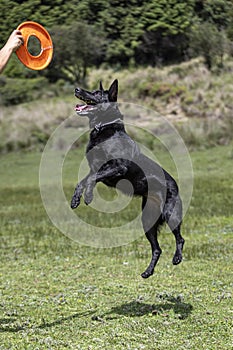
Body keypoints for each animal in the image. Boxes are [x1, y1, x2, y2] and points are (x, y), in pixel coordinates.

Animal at [70, 80, 185, 278]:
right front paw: (76, 199)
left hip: (170, 214)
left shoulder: (118, 167)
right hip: (147, 221)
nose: (76, 88)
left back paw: (177, 258)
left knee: (180, 238)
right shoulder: (95, 168)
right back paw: (148, 272)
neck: (104, 127)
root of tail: (176, 186)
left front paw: (88, 197)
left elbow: (92, 179)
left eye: (97, 92)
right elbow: (84, 181)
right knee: (157, 249)